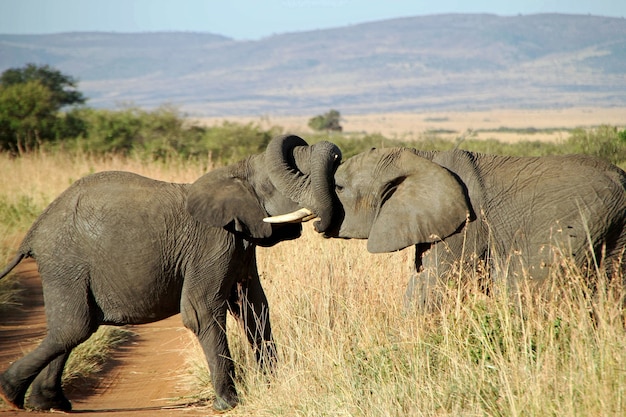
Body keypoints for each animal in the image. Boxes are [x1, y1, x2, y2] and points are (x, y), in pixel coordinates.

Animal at [0, 132, 342, 410]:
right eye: (286, 179)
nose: (322, 226)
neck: (234, 173)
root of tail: (33, 232)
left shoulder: (241, 244)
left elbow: (254, 309)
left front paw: (273, 386)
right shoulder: (212, 242)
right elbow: (201, 310)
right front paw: (228, 404)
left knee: (69, 328)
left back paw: (48, 403)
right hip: (66, 261)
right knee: (74, 327)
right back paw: (11, 393)